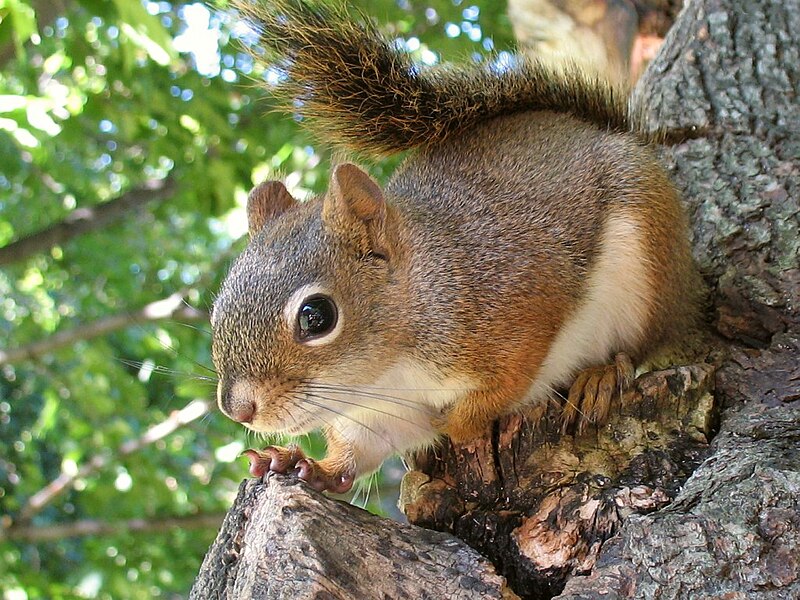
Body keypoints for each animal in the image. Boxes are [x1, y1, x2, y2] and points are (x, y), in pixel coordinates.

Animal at [209, 0, 704, 492]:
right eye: (217, 312)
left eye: (317, 317)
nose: (239, 410)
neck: (387, 373)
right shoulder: (378, 413)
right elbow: (357, 455)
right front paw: (300, 462)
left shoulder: (519, 309)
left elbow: (506, 383)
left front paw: (458, 424)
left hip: (646, 255)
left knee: (644, 345)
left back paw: (600, 376)